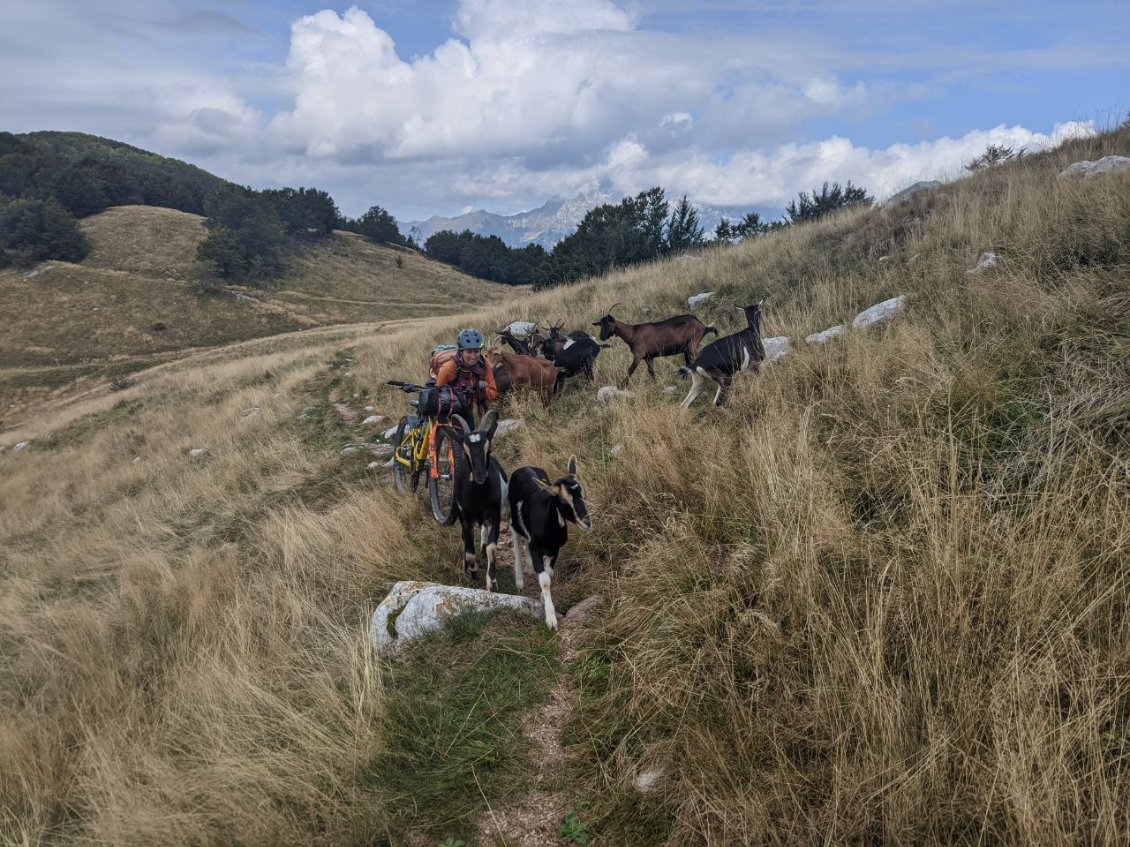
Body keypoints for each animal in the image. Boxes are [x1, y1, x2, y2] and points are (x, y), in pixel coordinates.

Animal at [445, 411, 508, 591]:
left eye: (489, 447)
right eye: (465, 450)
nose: (480, 476)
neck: (479, 495)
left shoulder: (494, 516)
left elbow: (492, 548)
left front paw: (492, 583)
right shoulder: (466, 518)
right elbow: (469, 551)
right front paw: (472, 570)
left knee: (484, 535)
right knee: (465, 539)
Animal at [510, 458, 592, 632]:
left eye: (583, 494)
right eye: (564, 500)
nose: (587, 523)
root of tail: (524, 467)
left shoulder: (555, 549)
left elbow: (549, 574)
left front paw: (542, 597)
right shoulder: (536, 548)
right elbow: (545, 580)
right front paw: (551, 619)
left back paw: (528, 568)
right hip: (513, 521)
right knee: (517, 544)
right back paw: (519, 579)